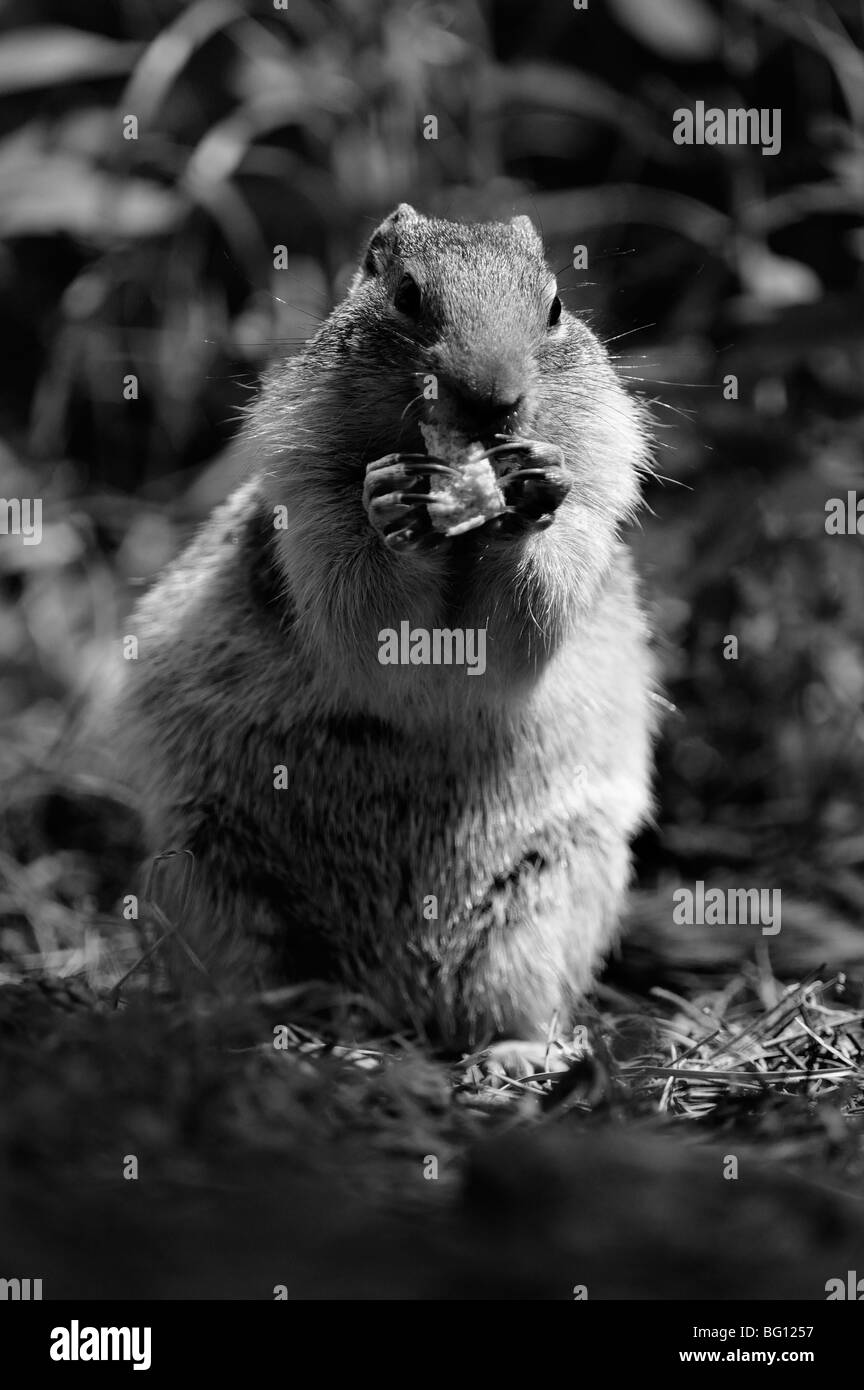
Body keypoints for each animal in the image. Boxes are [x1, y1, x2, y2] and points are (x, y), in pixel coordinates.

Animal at [97, 205, 661, 1050]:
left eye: (557, 306)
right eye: (406, 296)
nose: (495, 399)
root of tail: (396, 1000)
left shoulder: (594, 510)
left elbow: (534, 616)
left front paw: (535, 491)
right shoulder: (307, 514)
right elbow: (361, 614)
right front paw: (389, 505)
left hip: (553, 898)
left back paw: (517, 1053)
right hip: (209, 872)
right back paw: (265, 1032)